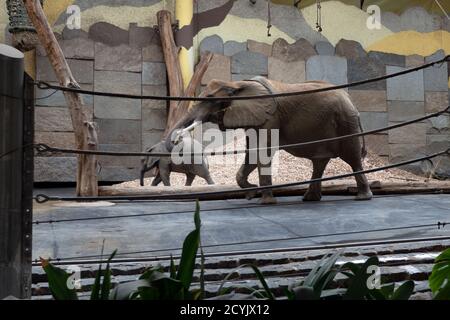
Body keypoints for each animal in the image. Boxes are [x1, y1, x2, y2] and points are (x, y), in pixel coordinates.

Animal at [165, 76, 372, 204]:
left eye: (209, 99)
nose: (175, 142)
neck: (236, 84)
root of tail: (351, 100)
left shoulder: (270, 118)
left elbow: (263, 152)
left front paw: (264, 201)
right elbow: (251, 153)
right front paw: (251, 193)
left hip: (346, 123)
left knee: (352, 158)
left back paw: (363, 197)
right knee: (320, 162)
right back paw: (310, 199)